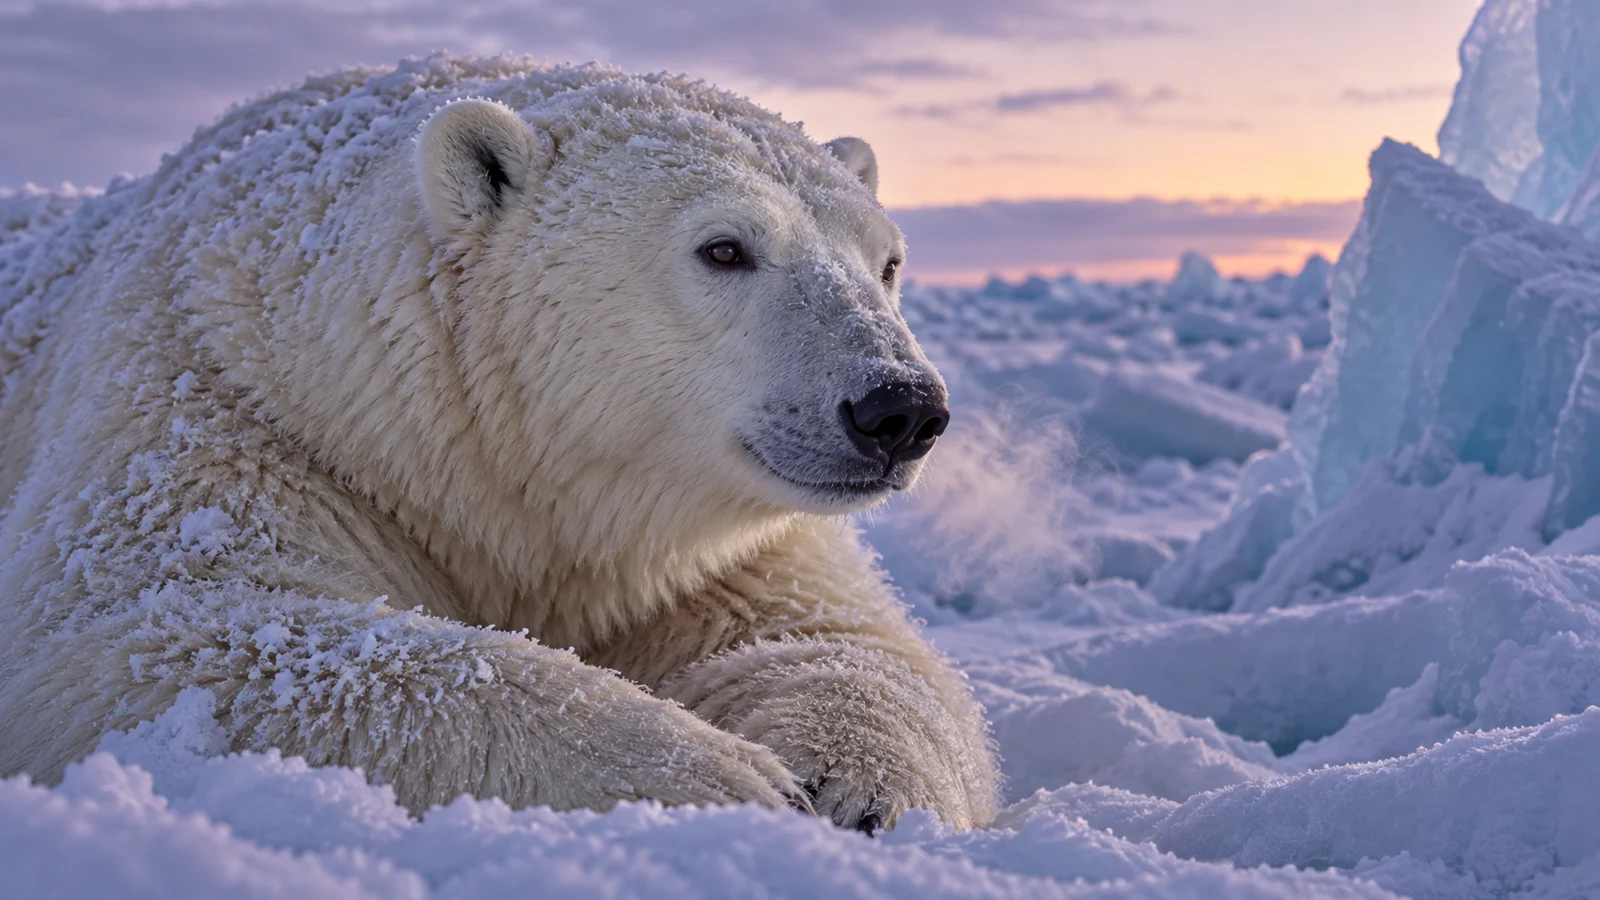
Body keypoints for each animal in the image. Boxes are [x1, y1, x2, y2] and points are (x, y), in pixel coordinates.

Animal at [0, 54, 999, 833]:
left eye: (887, 261)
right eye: (724, 248)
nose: (900, 409)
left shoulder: (711, 539)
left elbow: (829, 637)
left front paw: (852, 789)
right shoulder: (228, 410)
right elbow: (163, 631)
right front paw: (719, 779)